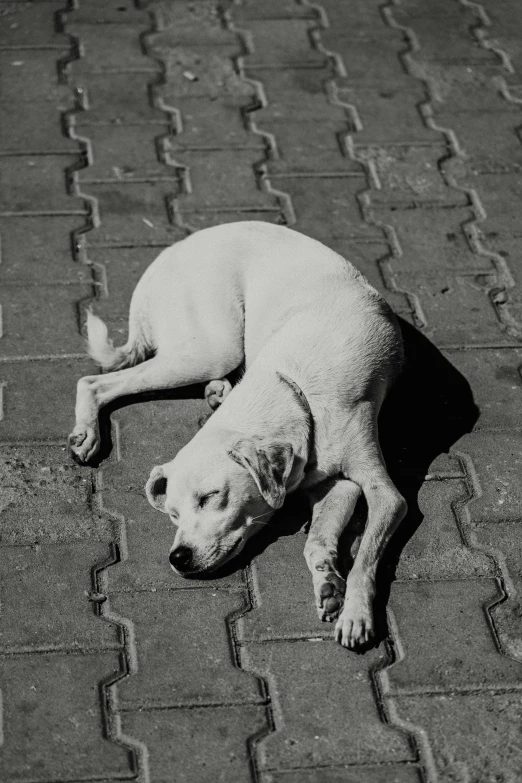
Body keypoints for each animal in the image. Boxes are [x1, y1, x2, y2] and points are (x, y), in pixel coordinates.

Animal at [69, 220, 404, 648]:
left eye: (210, 497)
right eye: (173, 514)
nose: (177, 558)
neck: (296, 391)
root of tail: (166, 256)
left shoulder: (373, 491)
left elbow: (349, 554)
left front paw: (349, 606)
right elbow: (321, 542)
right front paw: (334, 588)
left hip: (215, 350)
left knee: (97, 380)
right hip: (212, 346)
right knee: (95, 381)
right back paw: (87, 433)